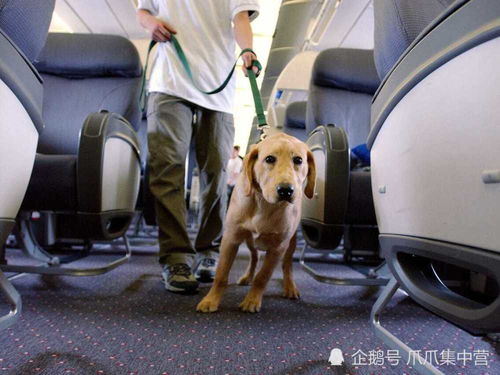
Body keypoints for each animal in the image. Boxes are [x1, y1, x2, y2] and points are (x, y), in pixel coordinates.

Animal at [197, 132, 314, 314]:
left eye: (298, 160)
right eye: (270, 159)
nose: (286, 190)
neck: (264, 203)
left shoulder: (278, 248)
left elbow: (262, 277)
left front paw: (252, 300)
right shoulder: (231, 239)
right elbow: (221, 274)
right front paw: (211, 300)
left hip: (291, 242)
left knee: (287, 265)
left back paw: (289, 286)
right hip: (249, 240)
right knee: (254, 257)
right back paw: (247, 276)